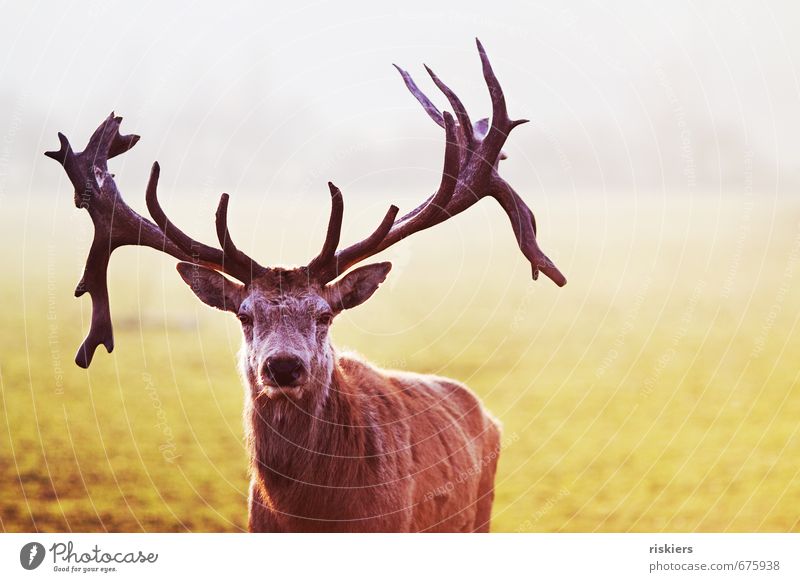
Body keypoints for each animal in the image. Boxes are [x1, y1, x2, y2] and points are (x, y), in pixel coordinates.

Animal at [47, 40, 564, 532]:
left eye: (324, 314)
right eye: (245, 314)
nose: (283, 366)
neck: (314, 518)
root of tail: (487, 416)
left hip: (479, 518)